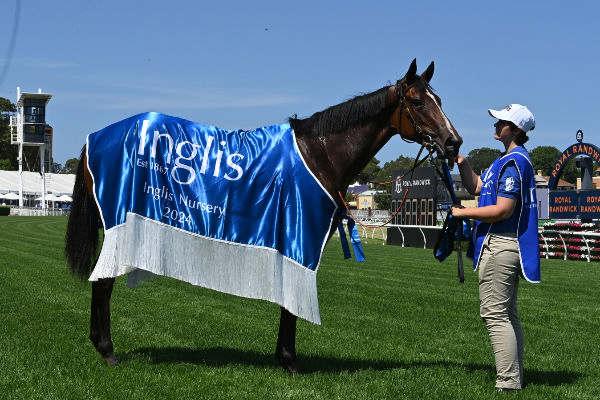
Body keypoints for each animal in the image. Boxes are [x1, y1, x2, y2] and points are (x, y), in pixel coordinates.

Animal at [64, 57, 460, 374]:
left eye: (439, 101)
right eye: (417, 101)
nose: (452, 142)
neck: (320, 154)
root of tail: (97, 137)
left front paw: (283, 357)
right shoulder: (300, 238)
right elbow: (292, 302)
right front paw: (290, 362)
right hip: (120, 223)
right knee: (103, 282)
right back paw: (108, 352)